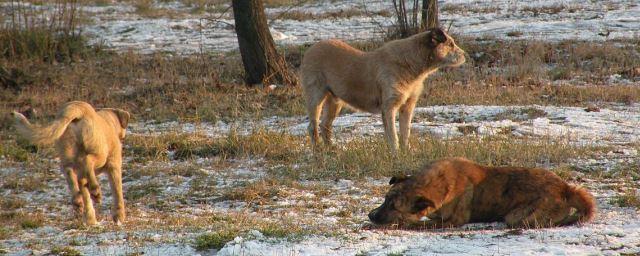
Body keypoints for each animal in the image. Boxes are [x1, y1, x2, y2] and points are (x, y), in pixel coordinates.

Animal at [300, 28, 464, 152]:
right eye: (450, 44)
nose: (465, 55)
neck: (410, 64)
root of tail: (311, 49)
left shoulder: (407, 106)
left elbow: (405, 132)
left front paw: (406, 152)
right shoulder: (389, 106)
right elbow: (393, 135)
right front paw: (396, 154)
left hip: (335, 100)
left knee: (325, 126)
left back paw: (332, 150)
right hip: (316, 96)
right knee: (312, 126)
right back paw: (318, 151)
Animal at [368, 157, 596, 229]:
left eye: (394, 206)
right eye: (385, 199)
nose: (370, 215)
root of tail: (565, 188)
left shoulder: (453, 221)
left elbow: (416, 223)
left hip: (517, 216)